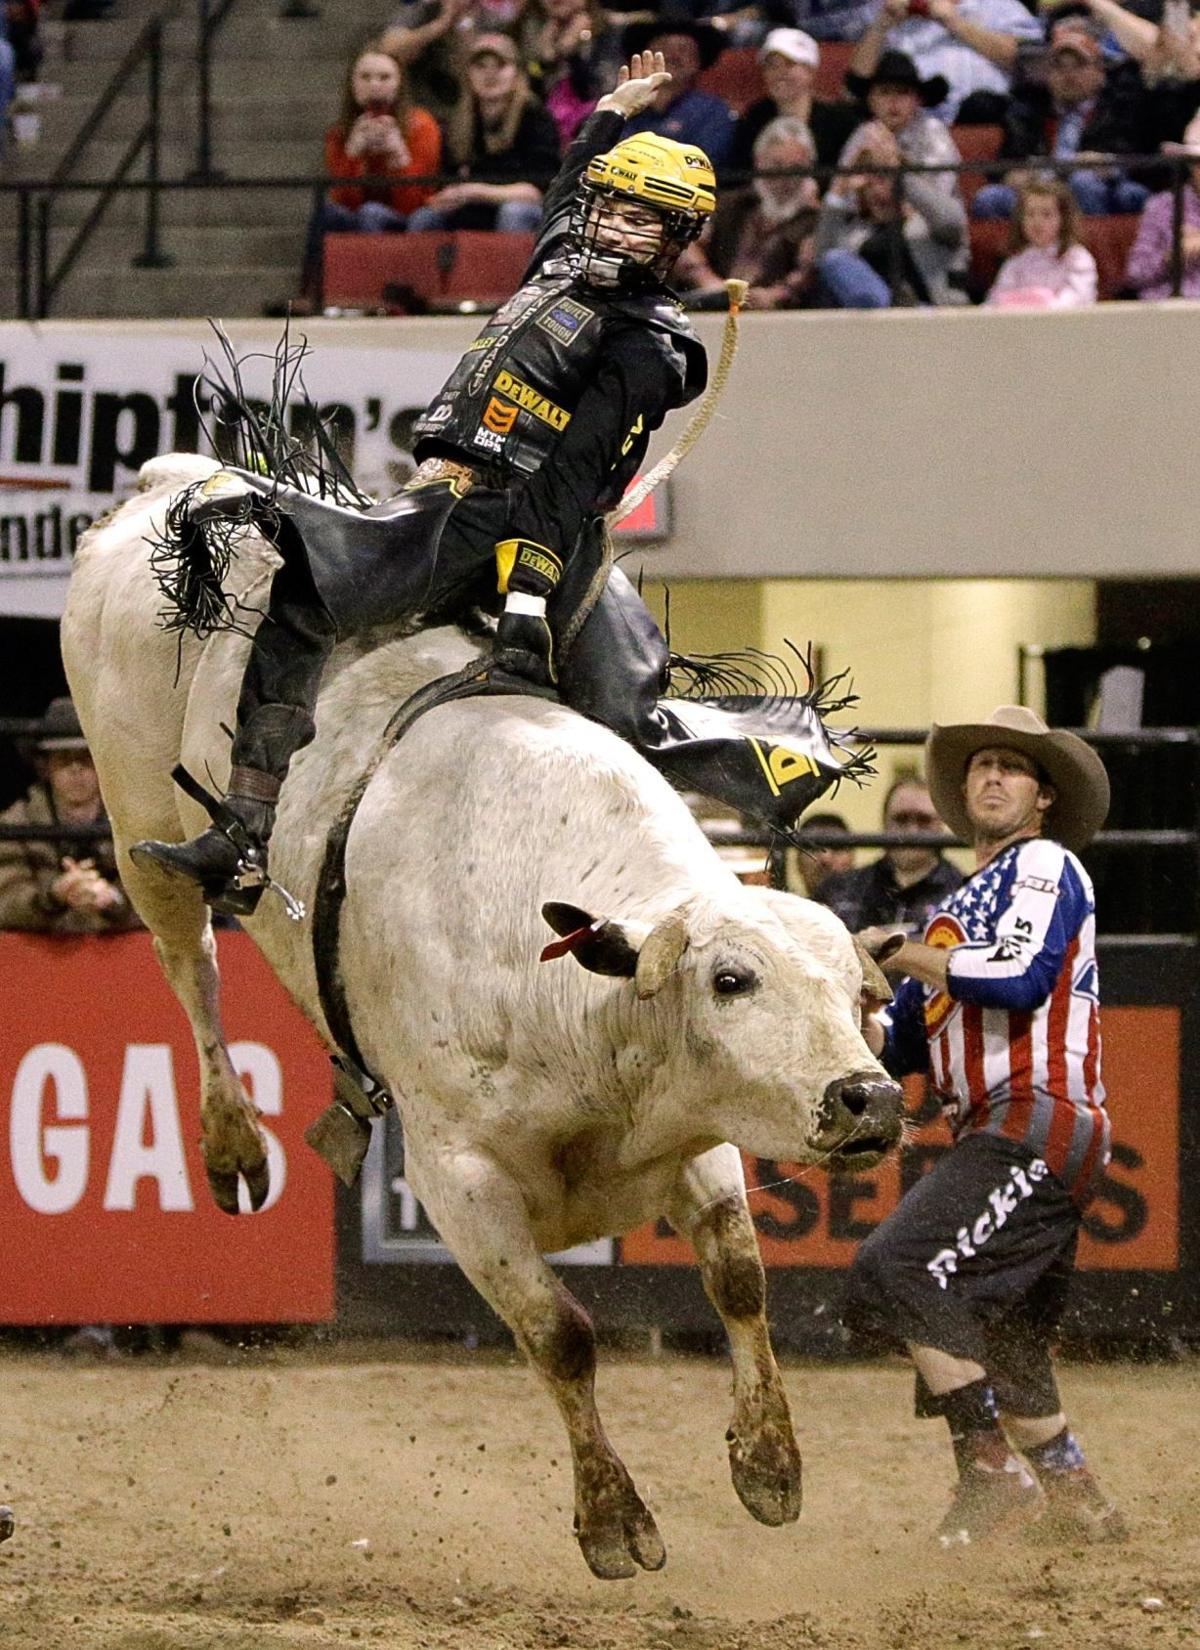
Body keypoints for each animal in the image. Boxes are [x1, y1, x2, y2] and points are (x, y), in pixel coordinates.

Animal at [62, 454, 905, 1579]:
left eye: (861, 997)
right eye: (731, 981)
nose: (867, 1099)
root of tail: (179, 479)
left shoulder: (693, 1131)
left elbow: (739, 1279)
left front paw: (768, 1465)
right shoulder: (455, 1177)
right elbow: (561, 1334)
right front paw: (614, 1523)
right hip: (134, 821)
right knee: (189, 963)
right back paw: (233, 1142)